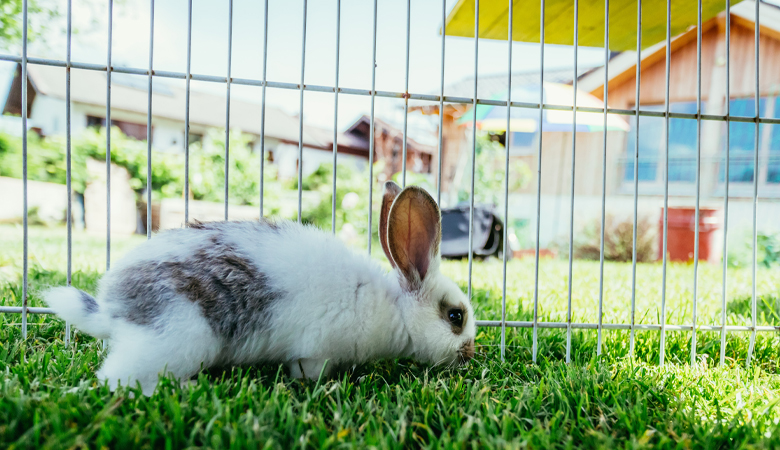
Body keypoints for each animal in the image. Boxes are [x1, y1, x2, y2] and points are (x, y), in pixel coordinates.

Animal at [47, 181, 482, 396]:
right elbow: (308, 371)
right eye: (455, 316)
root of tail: (112, 310)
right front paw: (322, 386)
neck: (394, 308)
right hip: (177, 341)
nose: (470, 352)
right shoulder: (316, 349)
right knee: (118, 380)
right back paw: (190, 387)